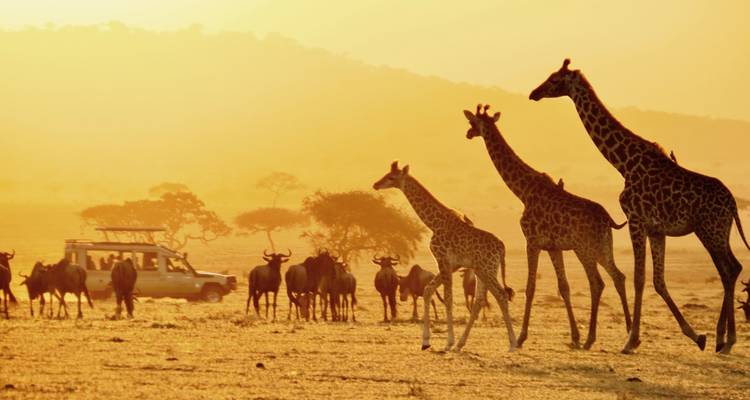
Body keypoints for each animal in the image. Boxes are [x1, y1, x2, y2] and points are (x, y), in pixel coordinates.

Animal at [373, 161, 517, 352]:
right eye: (386, 174)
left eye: (391, 177)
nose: (376, 185)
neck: (434, 223)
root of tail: (502, 248)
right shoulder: (451, 265)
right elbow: (428, 290)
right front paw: (426, 341)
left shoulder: (443, 260)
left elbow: (448, 298)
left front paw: (448, 342)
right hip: (481, 270)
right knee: (480, 300)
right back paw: (462, 344)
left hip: (487, 269)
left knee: (500, 295)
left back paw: (513, 343)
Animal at [464, 104, 631, 350]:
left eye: (473, 122)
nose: (468, 134)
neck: (523, 191)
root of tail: (608, 219)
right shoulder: (553, 247)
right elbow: (564, 287)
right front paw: (574, 336)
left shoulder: (532, 242)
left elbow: (530, 287)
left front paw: (522, 337)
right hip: (603, 247)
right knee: (618, 276)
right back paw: (629, 333)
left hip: (584, 249)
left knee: (597, 283)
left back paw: (592, 338)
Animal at [529, 59, 749, 354]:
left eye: (554, 79)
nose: (534, 93)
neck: (624, 162)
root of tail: (733, 204)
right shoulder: (656, 229)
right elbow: (657, 279)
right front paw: (694, 336)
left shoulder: (635, 219)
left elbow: (638, 277)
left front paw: (630, 341)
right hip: (718, 231)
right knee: (730, 269)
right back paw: (721, 338)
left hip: (710, 231)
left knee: (729, 269)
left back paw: (727, 340)